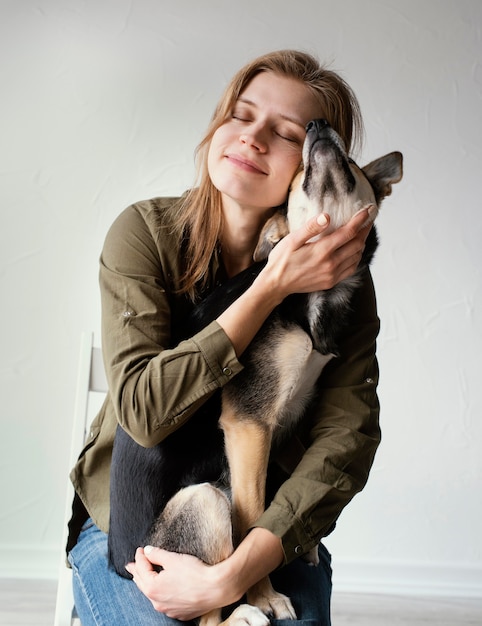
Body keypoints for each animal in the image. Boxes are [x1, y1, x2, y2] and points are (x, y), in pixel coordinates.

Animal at [108, 118, 402, 624]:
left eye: (349, 162)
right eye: (299, 173)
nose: (318, 125)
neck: (308, 293)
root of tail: (121, 566)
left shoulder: (289, 415)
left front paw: (306, 542)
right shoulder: (249, 425)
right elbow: (253, 518)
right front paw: (265, 595)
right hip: (202, 502)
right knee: (204, 605)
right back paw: (243, 613)